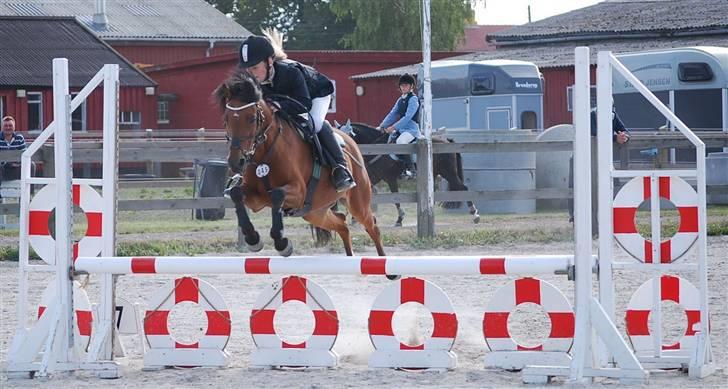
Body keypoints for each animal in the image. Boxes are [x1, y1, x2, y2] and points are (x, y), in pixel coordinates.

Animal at [213, 71, 384, 258]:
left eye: (251, 119)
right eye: (226, 120)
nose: (236, 162)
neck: (266, 153)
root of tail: (350, 140)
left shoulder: (299, 192)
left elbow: (277, 194)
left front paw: (281, 243)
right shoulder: (256, 198)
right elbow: (236, 193)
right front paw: (253, 239)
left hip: (357, 203)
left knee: (372, 227)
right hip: (314, 211)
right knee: (342, 224)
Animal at [340, 119, 480, 226]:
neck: (376, 147)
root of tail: (446, 141)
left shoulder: (390, 179)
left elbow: (396, 199)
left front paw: (399, 219)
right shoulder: (375, 177)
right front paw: (355, 218)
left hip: (449, 173)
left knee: (463, 188)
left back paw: (475, 214)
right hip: (434, 174)